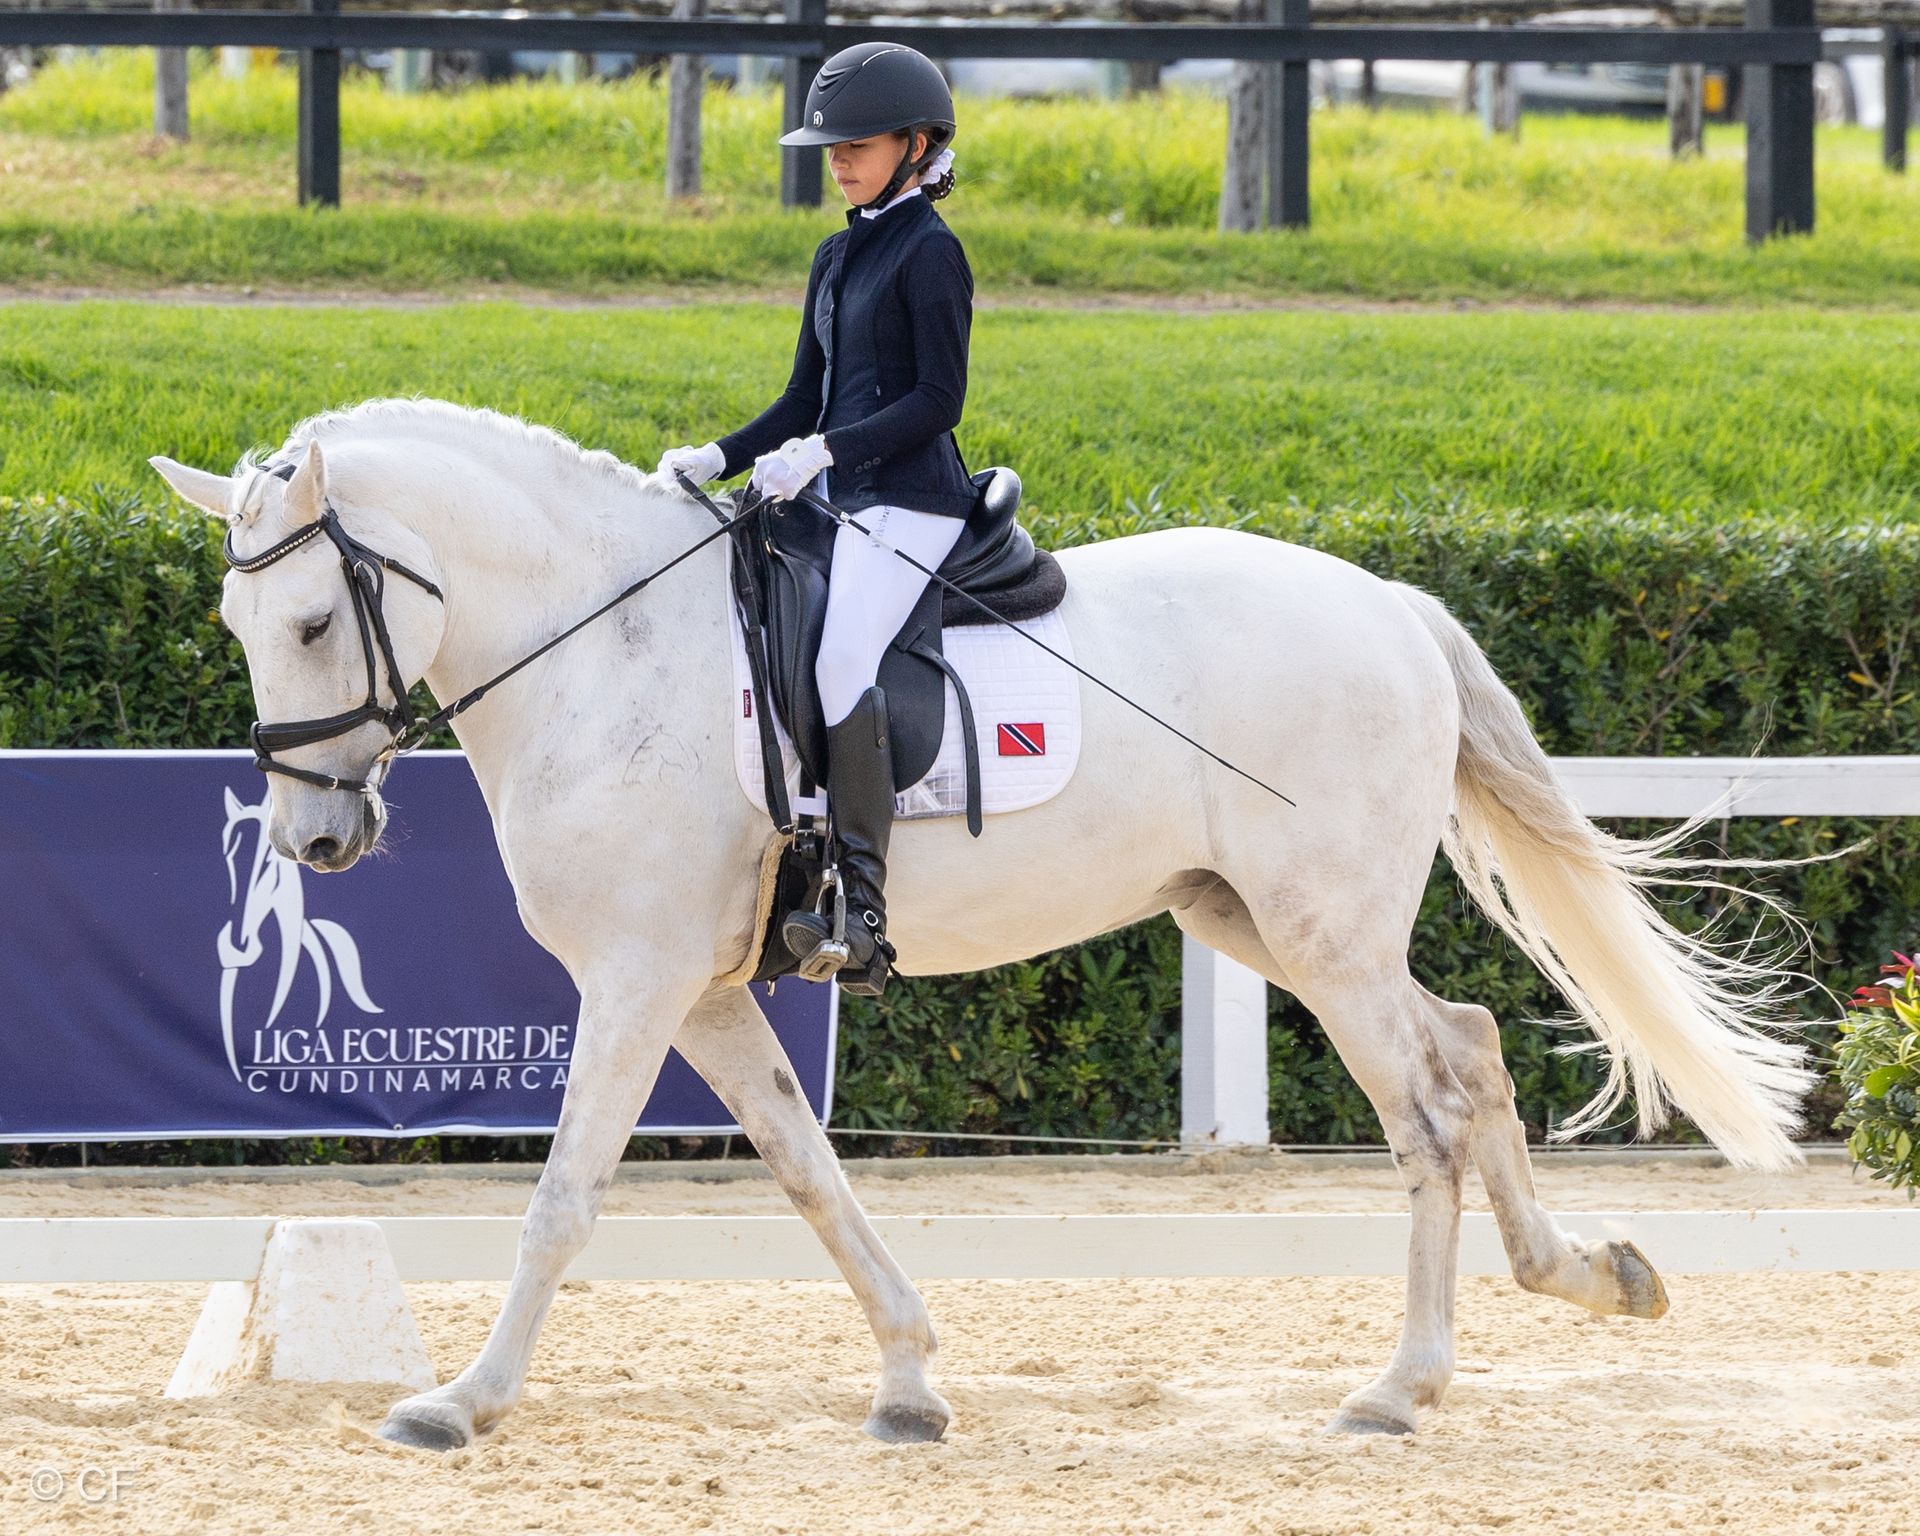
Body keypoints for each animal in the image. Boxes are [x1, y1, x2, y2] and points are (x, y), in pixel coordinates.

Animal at [149, 397, 1817, 1450]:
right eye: (235, 625)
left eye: (313, 621)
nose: (317, 839)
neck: (603, 655)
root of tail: (1392, 604)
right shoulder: (704, 990)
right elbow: (812, 1178)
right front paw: (909, 1382)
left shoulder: (634, 982)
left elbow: (563, 1202)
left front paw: (459, 1405)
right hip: (1262, 921)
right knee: (1469, 1050)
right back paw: (1588, 1278)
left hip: (1323, 933)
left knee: (1425, 1115)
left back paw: (1401, 1388)